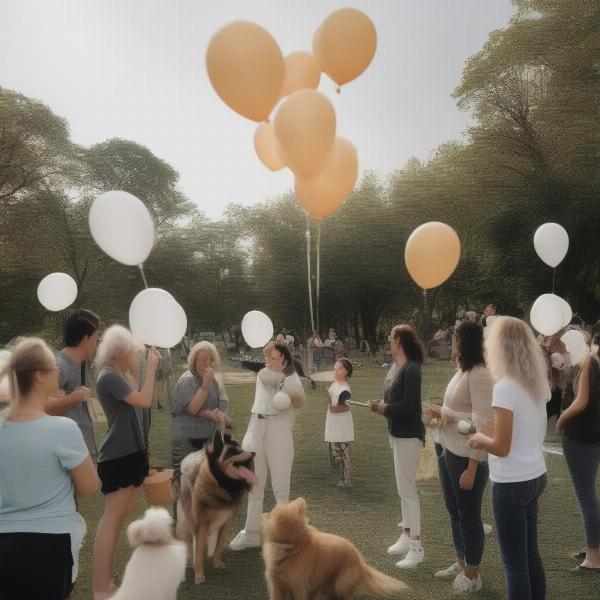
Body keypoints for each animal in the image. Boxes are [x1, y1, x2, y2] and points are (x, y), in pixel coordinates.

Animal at [176, 434, 255, 584]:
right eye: (232, 452)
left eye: (241, 448)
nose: (254, 453)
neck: (221, 486)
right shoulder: (201, 524)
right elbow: (198, 552)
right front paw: (199, 575)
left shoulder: (228, 521)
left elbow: (219, 546)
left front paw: (216, 563)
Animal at [262, 496, 408, 600]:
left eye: (300, 510)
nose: (301, 498)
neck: (293, 545)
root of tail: (361, 562)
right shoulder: (275, 584)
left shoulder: (299, 586)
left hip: (342, 582)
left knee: (345, 595)